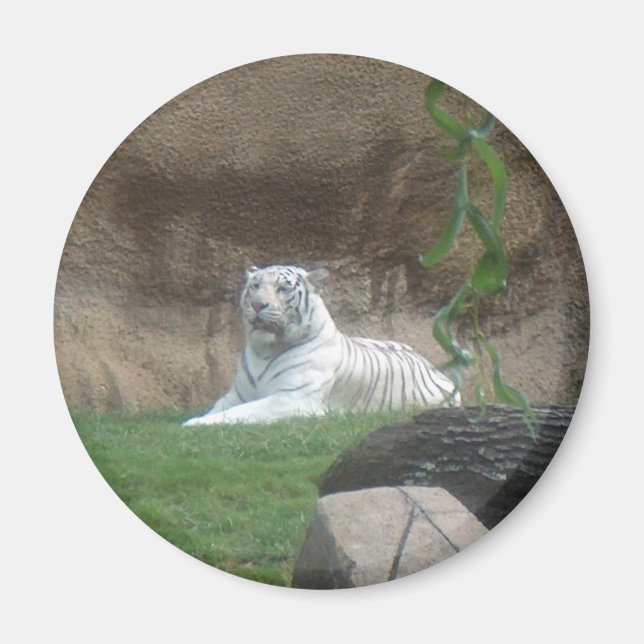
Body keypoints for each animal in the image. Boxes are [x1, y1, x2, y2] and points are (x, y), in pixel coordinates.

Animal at [183, 264, 459, 426]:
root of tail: (434, 367)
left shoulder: (291, 399)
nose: (257, 304)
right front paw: (197, 419)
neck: (263, 350)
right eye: (255, 286)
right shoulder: (235, 395)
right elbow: (218, 408)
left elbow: (241, 413)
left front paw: (192, 424)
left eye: (283, 288)